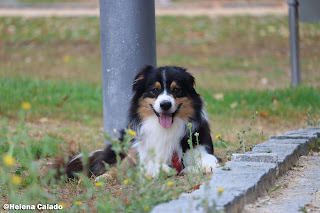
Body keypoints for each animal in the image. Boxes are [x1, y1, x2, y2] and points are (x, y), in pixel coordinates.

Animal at [60, 65, 220, 179]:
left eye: (177, 90)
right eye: (154, 90)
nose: (165, 105)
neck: (165, 129)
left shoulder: (198, 145)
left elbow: (208, 159)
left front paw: (206, 166)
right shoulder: (140, 154)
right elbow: (145, 165)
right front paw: (161, 169)